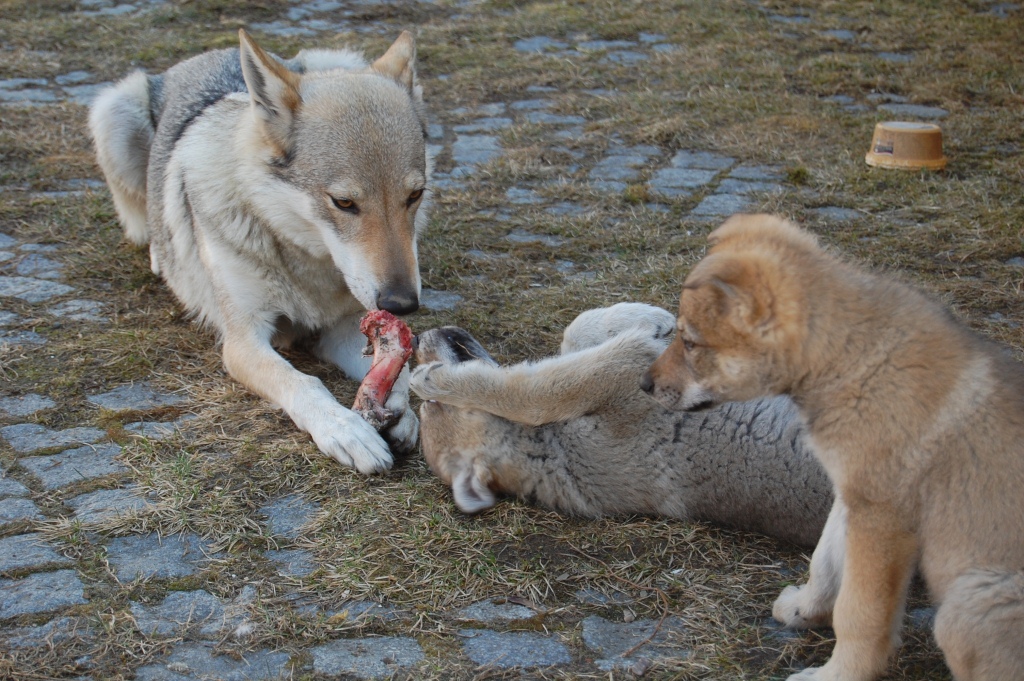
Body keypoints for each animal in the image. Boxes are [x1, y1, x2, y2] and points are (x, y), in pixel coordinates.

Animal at [407, 303, 831, 548]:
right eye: (431, 407)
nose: (417, 338)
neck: (549, 451)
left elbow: (571, 336)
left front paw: (649, 316)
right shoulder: (624, 370)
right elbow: (527, 393)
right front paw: (433, 379)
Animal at [643, 215, 1024, 679]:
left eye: (690, 343)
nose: (643, 384)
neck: (850, 359)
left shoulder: (881, 520)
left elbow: (859, 614)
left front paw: (838, 673)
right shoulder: (848, 496)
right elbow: (824, 563)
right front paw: (805, 610)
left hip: (967, 605)